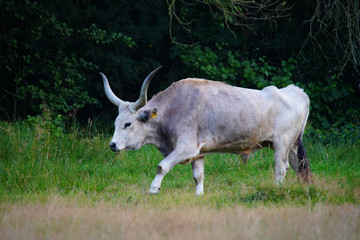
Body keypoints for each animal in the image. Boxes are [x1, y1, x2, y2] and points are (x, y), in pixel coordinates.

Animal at [100, 66, 310, 194]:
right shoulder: (198, 153)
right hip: (291, 146)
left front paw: (153, 189)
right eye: (116, 123)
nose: (113, 145)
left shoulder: (186, 147)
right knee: (298, 168)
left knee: (281, 169)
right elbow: (198, 176)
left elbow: (162, 166)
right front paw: (199, 196)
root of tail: (298, 91)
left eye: (128, 124)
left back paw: (276, 189)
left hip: (281, 143)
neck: (173, 107)